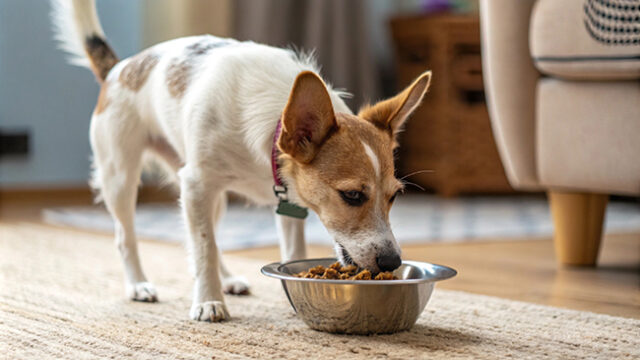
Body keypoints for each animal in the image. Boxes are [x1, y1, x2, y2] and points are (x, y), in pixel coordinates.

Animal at [50, 0, 430, 320]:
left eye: (394, 196)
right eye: (352, 196)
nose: (392, 261)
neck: (271, 129)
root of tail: (119, 67)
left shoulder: (289, 202)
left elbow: (285, 249)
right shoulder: (197, 185)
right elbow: (204, 248)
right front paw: (208, 301)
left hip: (211, 198)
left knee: (210, 236)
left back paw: (228, 279)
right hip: (122, 178)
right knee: (127, 237)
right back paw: (138, 285)